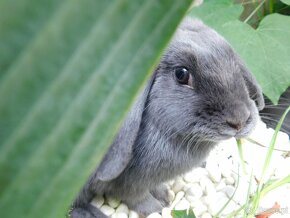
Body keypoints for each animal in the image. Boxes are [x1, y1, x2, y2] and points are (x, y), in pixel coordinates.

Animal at [69, 17, 264, 218]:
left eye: (233, 62)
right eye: (181, 74)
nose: (239, 120)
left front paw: (164, 196)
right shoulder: (130, 184)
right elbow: (136, 197)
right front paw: (157, 208)